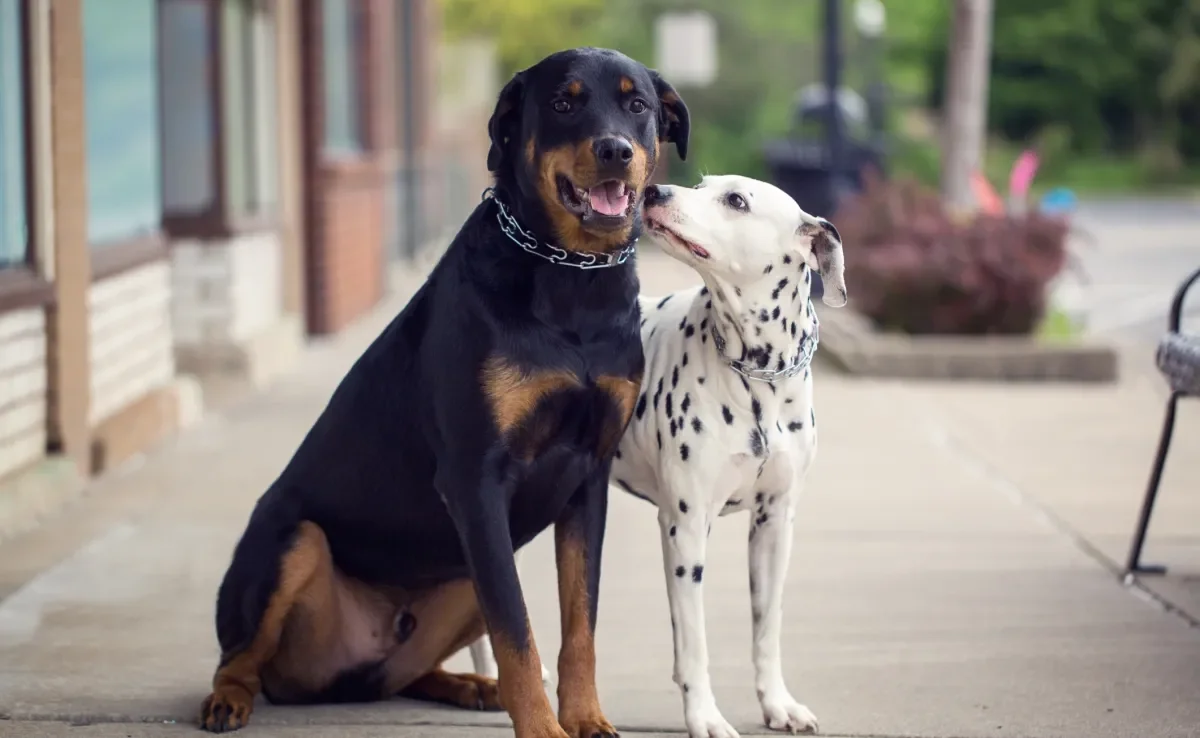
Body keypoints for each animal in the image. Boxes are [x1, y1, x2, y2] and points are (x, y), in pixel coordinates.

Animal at [195, 47, 686, 738]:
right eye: (563, 103)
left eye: (637, 104)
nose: (615, 149)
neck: (570, 280)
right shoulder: (475, 479)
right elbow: (518, 633)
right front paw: (543, 728)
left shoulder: (588, 478)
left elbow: (578, 623)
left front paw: (586, 718)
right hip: (299, 543)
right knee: (241, 657)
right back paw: (228, 699)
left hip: (461, 573)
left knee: (402, 675)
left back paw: (469, 686)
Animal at [463, 176, 849, 734]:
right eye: (703, 183)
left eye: (736, 200)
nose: (656, 192)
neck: (756, 379)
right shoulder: (684, 530)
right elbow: (693, 644)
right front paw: (704, 716)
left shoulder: (775, 526)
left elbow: (766, 628)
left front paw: (777, 703)